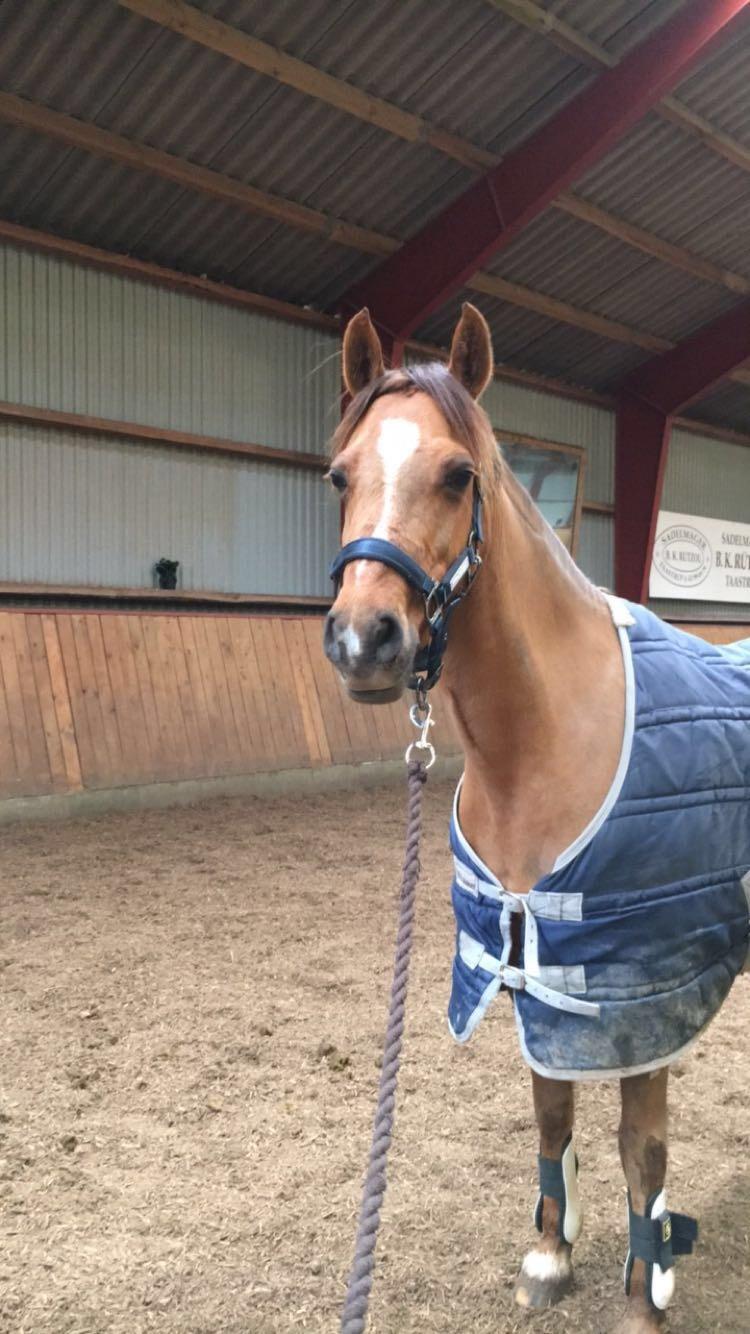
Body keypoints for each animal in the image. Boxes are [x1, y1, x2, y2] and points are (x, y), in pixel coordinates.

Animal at [323, 303, 750, 1334]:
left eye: (457, 473)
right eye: (340, 474)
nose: (364, 641)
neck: (546, 740)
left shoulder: (641, 993)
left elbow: (643, 1150)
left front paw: (643, 1298)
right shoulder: (531, 965)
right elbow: (552, 1114)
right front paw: (551, 1254)